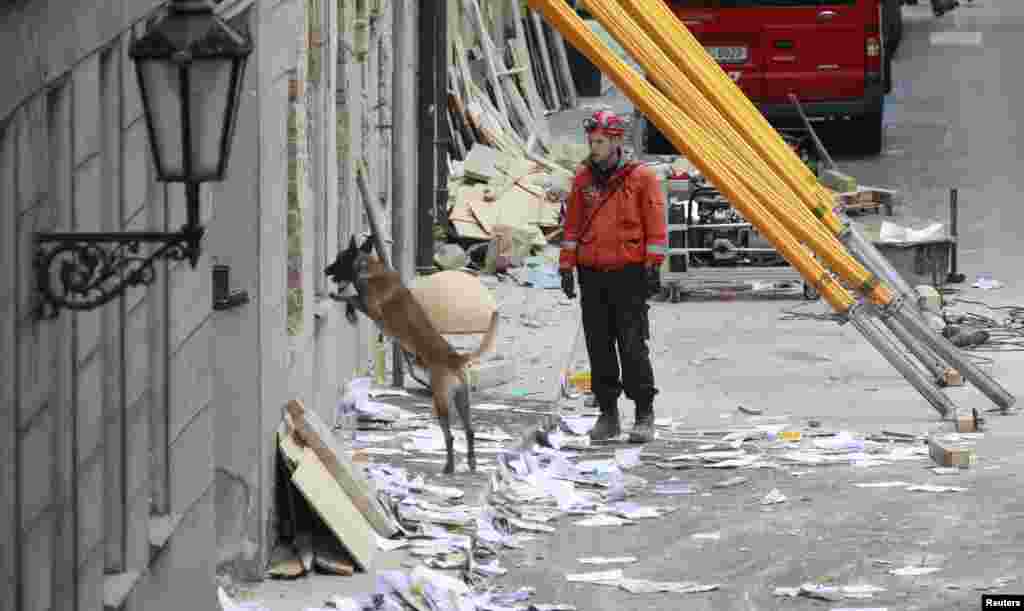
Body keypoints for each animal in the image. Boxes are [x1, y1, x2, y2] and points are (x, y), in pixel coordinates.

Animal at [323, 235, 499, 474]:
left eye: (339, 259)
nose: (325, 270)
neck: (368, 267)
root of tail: (456, 358)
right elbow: (352, 297)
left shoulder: (371, 308)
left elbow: (351, 297)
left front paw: (339, 296)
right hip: (463, 401)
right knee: (470, 430)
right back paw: (471, 463)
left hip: (441, 401)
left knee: (450, 436)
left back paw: (449, 467)